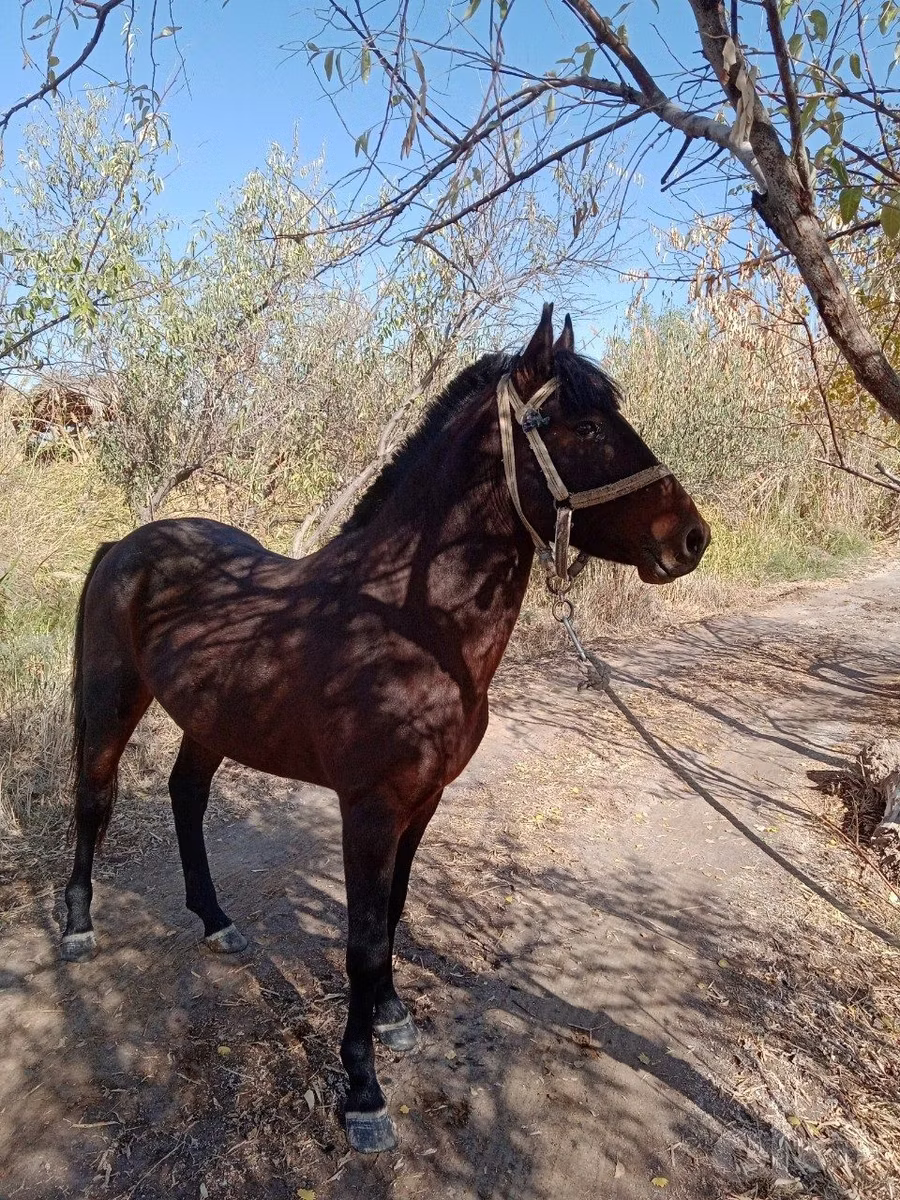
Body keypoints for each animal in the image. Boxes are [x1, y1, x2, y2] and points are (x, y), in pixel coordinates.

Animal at [61, 305, 710, 1153]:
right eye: (590, 426)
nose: (691, 537)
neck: (409, 626)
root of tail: (126, 546)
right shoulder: (368, 809)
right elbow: (363, 939)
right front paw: (363, 1093)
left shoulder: (423, 801)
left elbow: (395, 912)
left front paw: (393, 1018)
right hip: (110, 698)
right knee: (94, 799)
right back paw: (77, 927)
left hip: (210, 719)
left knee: (186, 797)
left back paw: (217, 921)